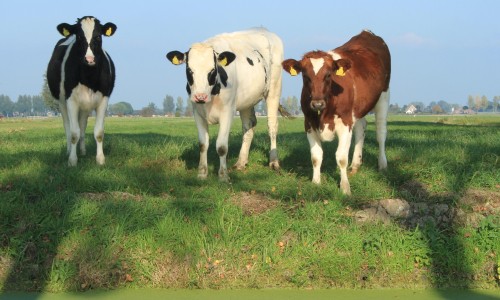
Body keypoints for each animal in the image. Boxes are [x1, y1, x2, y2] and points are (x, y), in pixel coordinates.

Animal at [47, 16, 116, 166]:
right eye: (79, 36)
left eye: (98, 36)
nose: (89, 59)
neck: (88, 78)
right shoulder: (71, 100)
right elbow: (74, 133)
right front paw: (72, 160)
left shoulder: (104, 99)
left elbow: (99, 132)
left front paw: (100, 159)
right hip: (61, 103)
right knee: (68, 127)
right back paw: (69, 151)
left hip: (85, 106)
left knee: (83, 126)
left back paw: (83, 151)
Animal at [167, 28, 284, 182]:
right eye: (189, 70)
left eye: (212, 70)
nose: (200, 96)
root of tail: (262, 29)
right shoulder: (197, 112)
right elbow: (203, 144)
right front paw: (202, 174)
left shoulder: (227, 112)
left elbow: (221, 146)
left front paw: (223, 176)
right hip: (247, 101)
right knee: (249, 126)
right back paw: (241, 162)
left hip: (274, 90)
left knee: (272, 126)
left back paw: (274, 162)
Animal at [282, 30, 390, 195]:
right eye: (305, 76)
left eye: (328, 75)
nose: (317, 103)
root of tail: (367, 32)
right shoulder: (309, 123)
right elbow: (316, 156)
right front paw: (316, 183)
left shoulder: (345, 123)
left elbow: (341, 158)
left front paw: (345, 188)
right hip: (358, 108)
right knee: (361, 128)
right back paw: (355, 165)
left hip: (384, 95)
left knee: (381, 132)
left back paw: (382, 164)